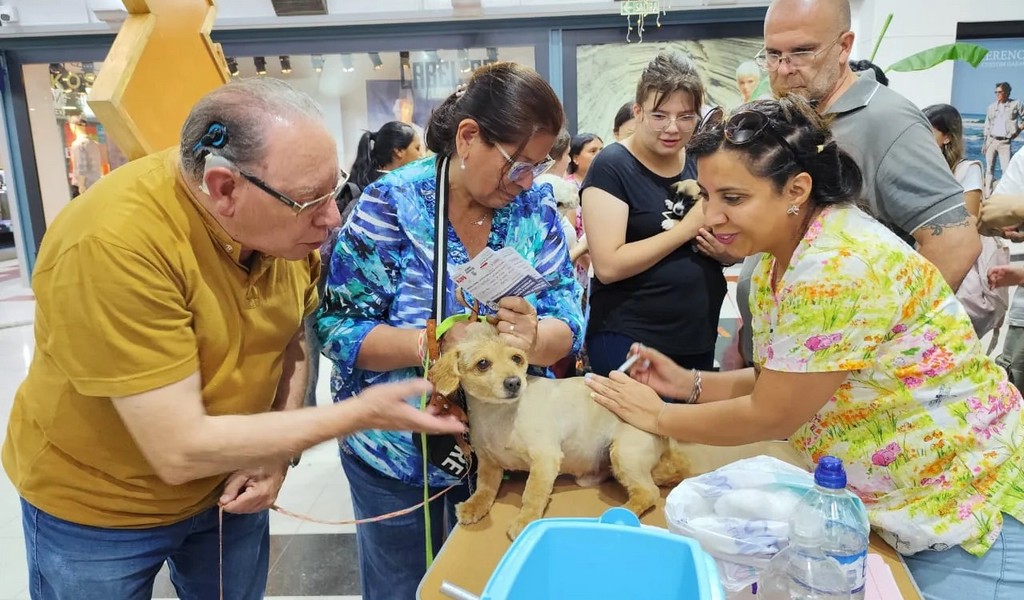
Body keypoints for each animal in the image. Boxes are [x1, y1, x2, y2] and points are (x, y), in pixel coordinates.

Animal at [432, 321, 688, 536]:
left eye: (517, 358)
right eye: (483, 363)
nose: (514, 382)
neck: (498, 414)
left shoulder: (545, 459)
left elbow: (532, 494)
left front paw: (526, 521)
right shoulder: (489, 463)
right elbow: (484, 489)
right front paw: (474, 506)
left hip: (625, 454)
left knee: (649, 492)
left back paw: (623, 514)